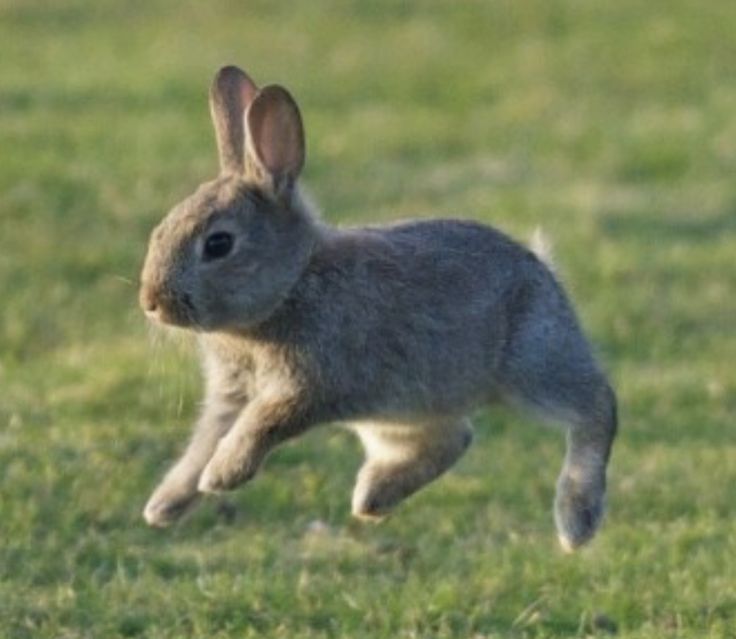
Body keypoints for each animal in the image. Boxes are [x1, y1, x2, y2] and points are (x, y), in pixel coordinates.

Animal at [138, 67, 616, 552]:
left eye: (218, 244)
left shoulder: (308, 386)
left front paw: (220, 476)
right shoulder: (231, 395)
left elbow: (259, 426)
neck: (292, 284)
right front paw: (164, 506)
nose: (151, 302)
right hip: (395, 411)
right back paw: (374, 497)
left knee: (596, 407)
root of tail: (541, 267)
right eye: (162, 228)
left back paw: (577, 521)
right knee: (453, 438)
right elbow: (203, 443)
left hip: (532, 361)